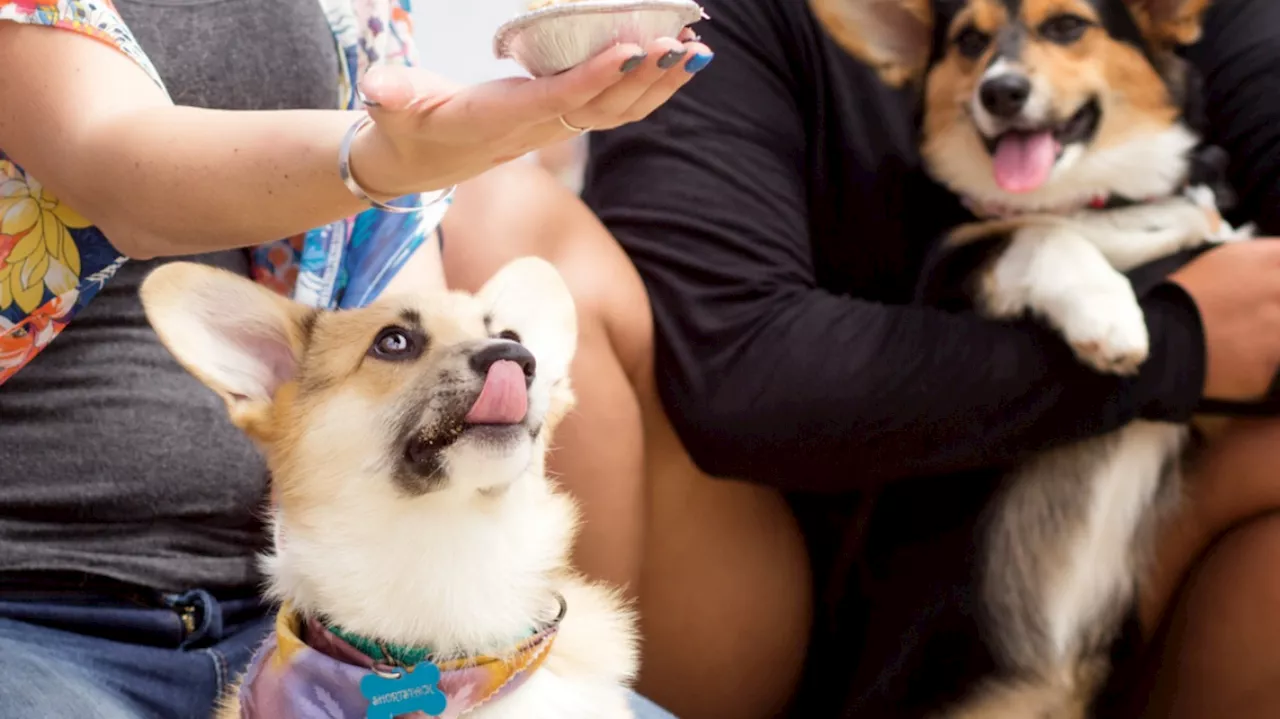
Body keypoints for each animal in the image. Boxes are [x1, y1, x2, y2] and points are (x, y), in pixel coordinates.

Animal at [808, 0, 1249, 711]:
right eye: (968, 41)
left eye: (1067, 26)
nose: (1001, 92)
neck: (1086, 198)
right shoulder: (949, 275)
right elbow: (1040, 237)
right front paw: (1110, 315)